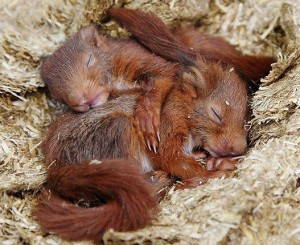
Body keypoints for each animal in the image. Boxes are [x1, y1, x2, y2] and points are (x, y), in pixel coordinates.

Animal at [34, 8, 274, 241]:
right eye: (216, 113)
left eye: (89, 61)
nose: (238, 149)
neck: (181, 104)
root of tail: (55, 170)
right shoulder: (168, 128)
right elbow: (175, 160)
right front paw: (215, 171)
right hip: (119, 132)